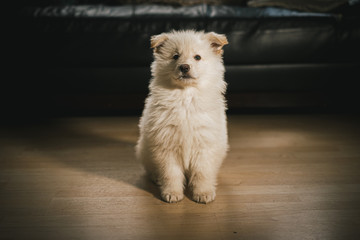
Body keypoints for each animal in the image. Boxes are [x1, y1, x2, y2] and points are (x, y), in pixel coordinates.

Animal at [135, 29, 228, 202]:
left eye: (197, 57)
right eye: (175, 56)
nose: (184, 67)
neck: (186, 97)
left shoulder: (204, 143)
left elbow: (202, 173)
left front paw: (203, 193)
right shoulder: (166, 145)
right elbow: (170, 173)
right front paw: (172, 193)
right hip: (144, 150)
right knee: (151, 169)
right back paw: (156, 178)